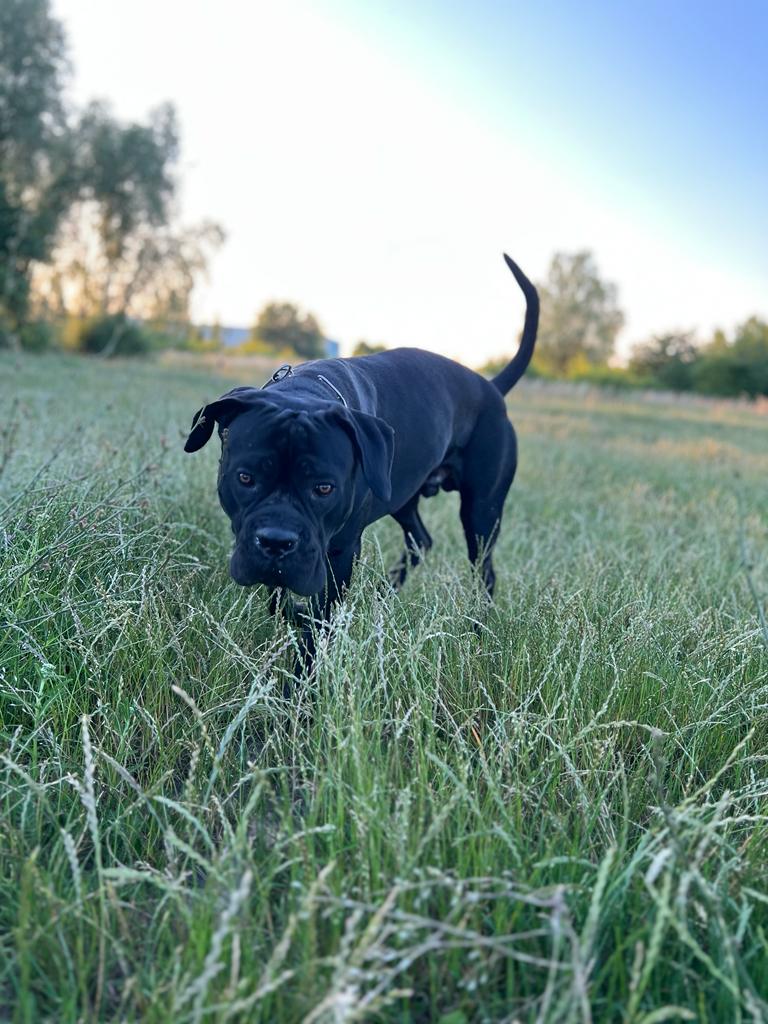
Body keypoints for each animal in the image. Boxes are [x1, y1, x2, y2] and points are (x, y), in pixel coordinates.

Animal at [184, 254, 538, 624]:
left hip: (481, 511)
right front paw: (290, 613)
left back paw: (477, 623)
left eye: (324, 488)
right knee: (420, 540)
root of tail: (491, 388)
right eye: (245, 478)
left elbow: (320, 613)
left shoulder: (341, 550)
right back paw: (384, 594)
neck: (306, 392)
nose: (277, 542)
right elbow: (279, 595)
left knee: (484, 569)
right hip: (402, 495)